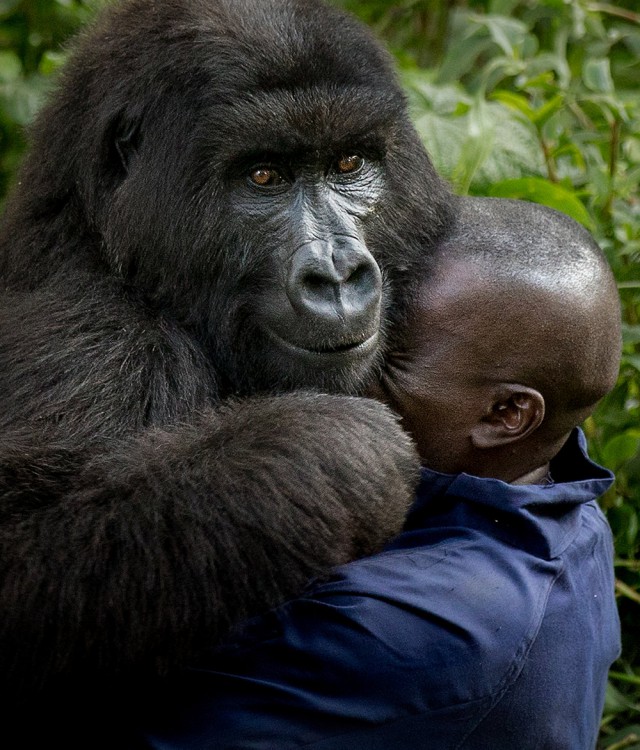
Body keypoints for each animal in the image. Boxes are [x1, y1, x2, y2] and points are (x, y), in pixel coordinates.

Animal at [0, 0, 450, 712]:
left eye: (349, 163)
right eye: (263, 176)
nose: (337, 275)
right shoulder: (92, 342)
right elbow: (18, 554)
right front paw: (328, 450)